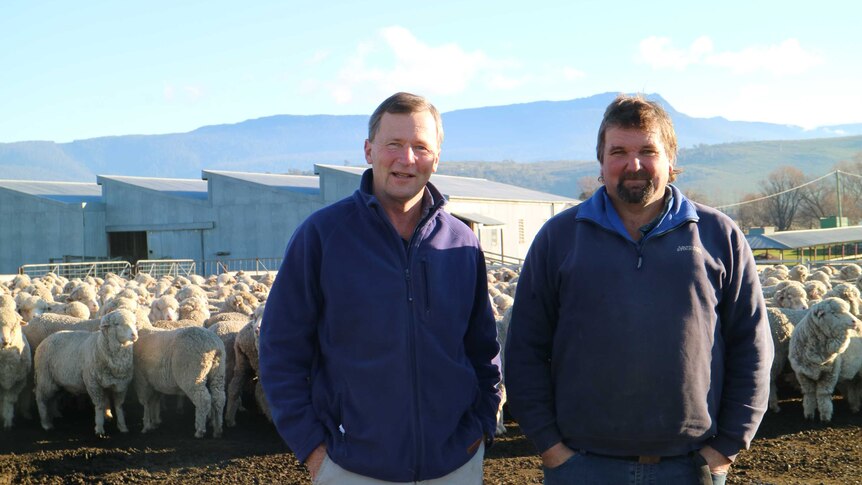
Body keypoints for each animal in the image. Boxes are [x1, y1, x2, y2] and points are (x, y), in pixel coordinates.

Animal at [33, 308, 138, 436]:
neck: (99, 346)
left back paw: (54, 415)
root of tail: (46, 340)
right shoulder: (93, 384)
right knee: (41, 398)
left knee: (52, 398)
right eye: (117, 324)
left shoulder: (120, 385)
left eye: (134, 322)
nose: (134, 335)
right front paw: (99, 428)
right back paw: (46, 423)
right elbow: (99, 405)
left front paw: (122, 426)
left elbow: (118, 406)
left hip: (57, 381)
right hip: (45, 377)